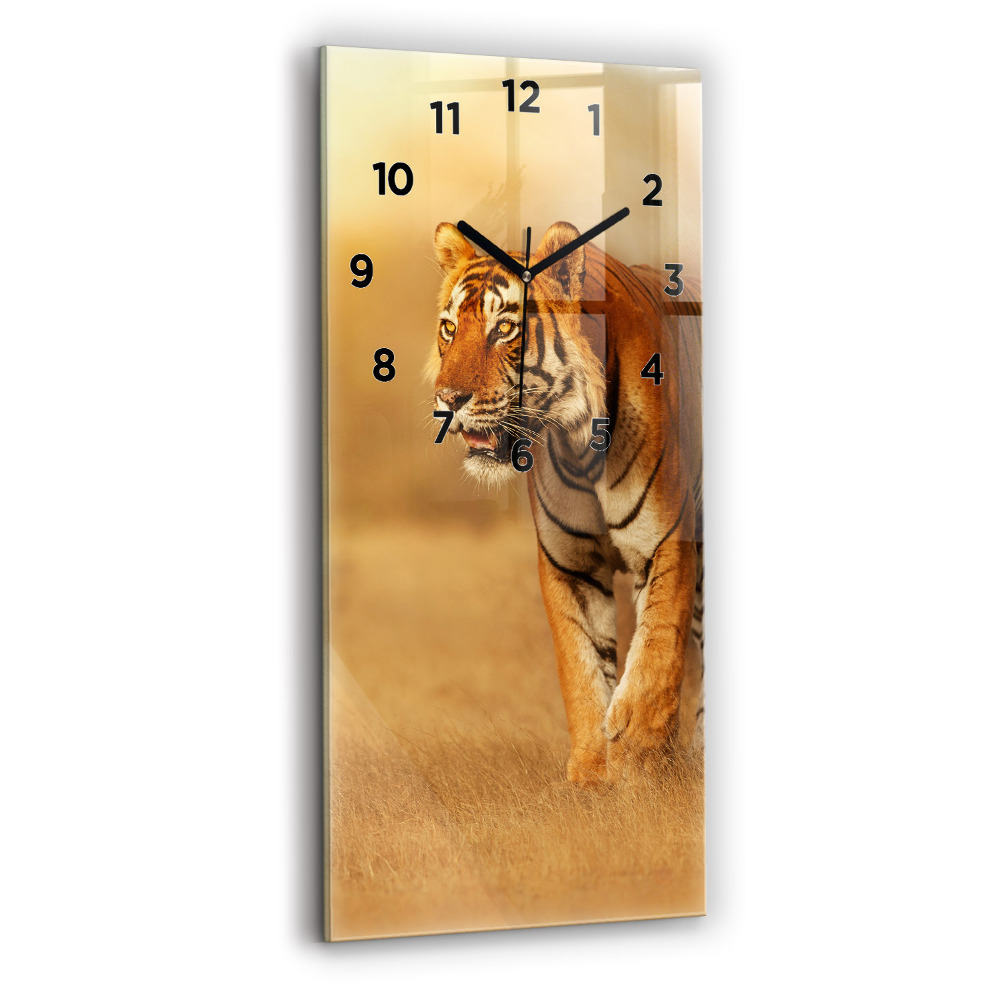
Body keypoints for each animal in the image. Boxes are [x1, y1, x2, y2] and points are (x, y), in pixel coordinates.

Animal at [429, 220, 702, 786]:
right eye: (449, 328)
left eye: (504, 329)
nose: (448, 399)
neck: (578, 446)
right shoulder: (569, 563)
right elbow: (581, 665)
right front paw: (593, 773)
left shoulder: (668, 541)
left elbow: (657, 651)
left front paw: (640, 762)